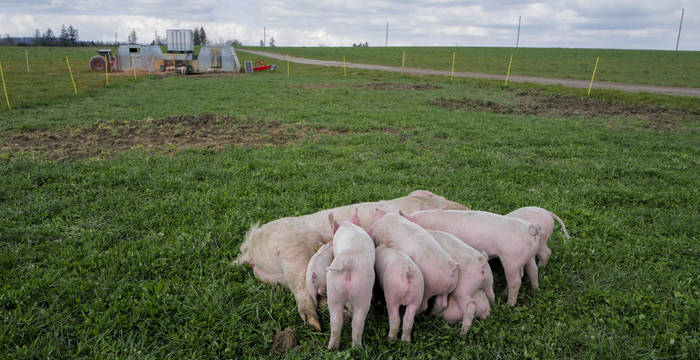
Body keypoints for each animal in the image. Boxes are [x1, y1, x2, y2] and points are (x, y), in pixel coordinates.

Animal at [232, 190, 468, 330]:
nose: (465, 207)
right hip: (292, 251)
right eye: (442, 199)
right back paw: (317, 324)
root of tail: (251, 247)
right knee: (303, 293)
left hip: (279, 273)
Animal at [326, 210, 374, 350]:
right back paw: (357, 348)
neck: (349, 227)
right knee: (357, 322)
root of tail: (348, 262)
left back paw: (332, 348)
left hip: (333, 289)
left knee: (336, 321)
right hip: (363, 290)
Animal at [400, 210, 540, 308]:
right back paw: (535, 289)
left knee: (515, 281)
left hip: (511, 260)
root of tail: (530, 230)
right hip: (529, 257)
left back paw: (509, 304)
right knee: (533, 270)